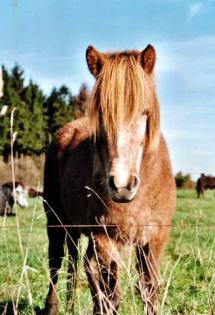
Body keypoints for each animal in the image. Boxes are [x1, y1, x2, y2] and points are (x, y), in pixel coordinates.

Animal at [42, 45, 176, 315]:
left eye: (145, 112)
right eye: (102, 114)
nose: (122, 186)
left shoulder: (155, 241)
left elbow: (149, 290)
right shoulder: (105, 240)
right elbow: (111, 294)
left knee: (76, 260)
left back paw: (71, 304)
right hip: (56, 221)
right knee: (57, 261)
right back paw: (53, 306)